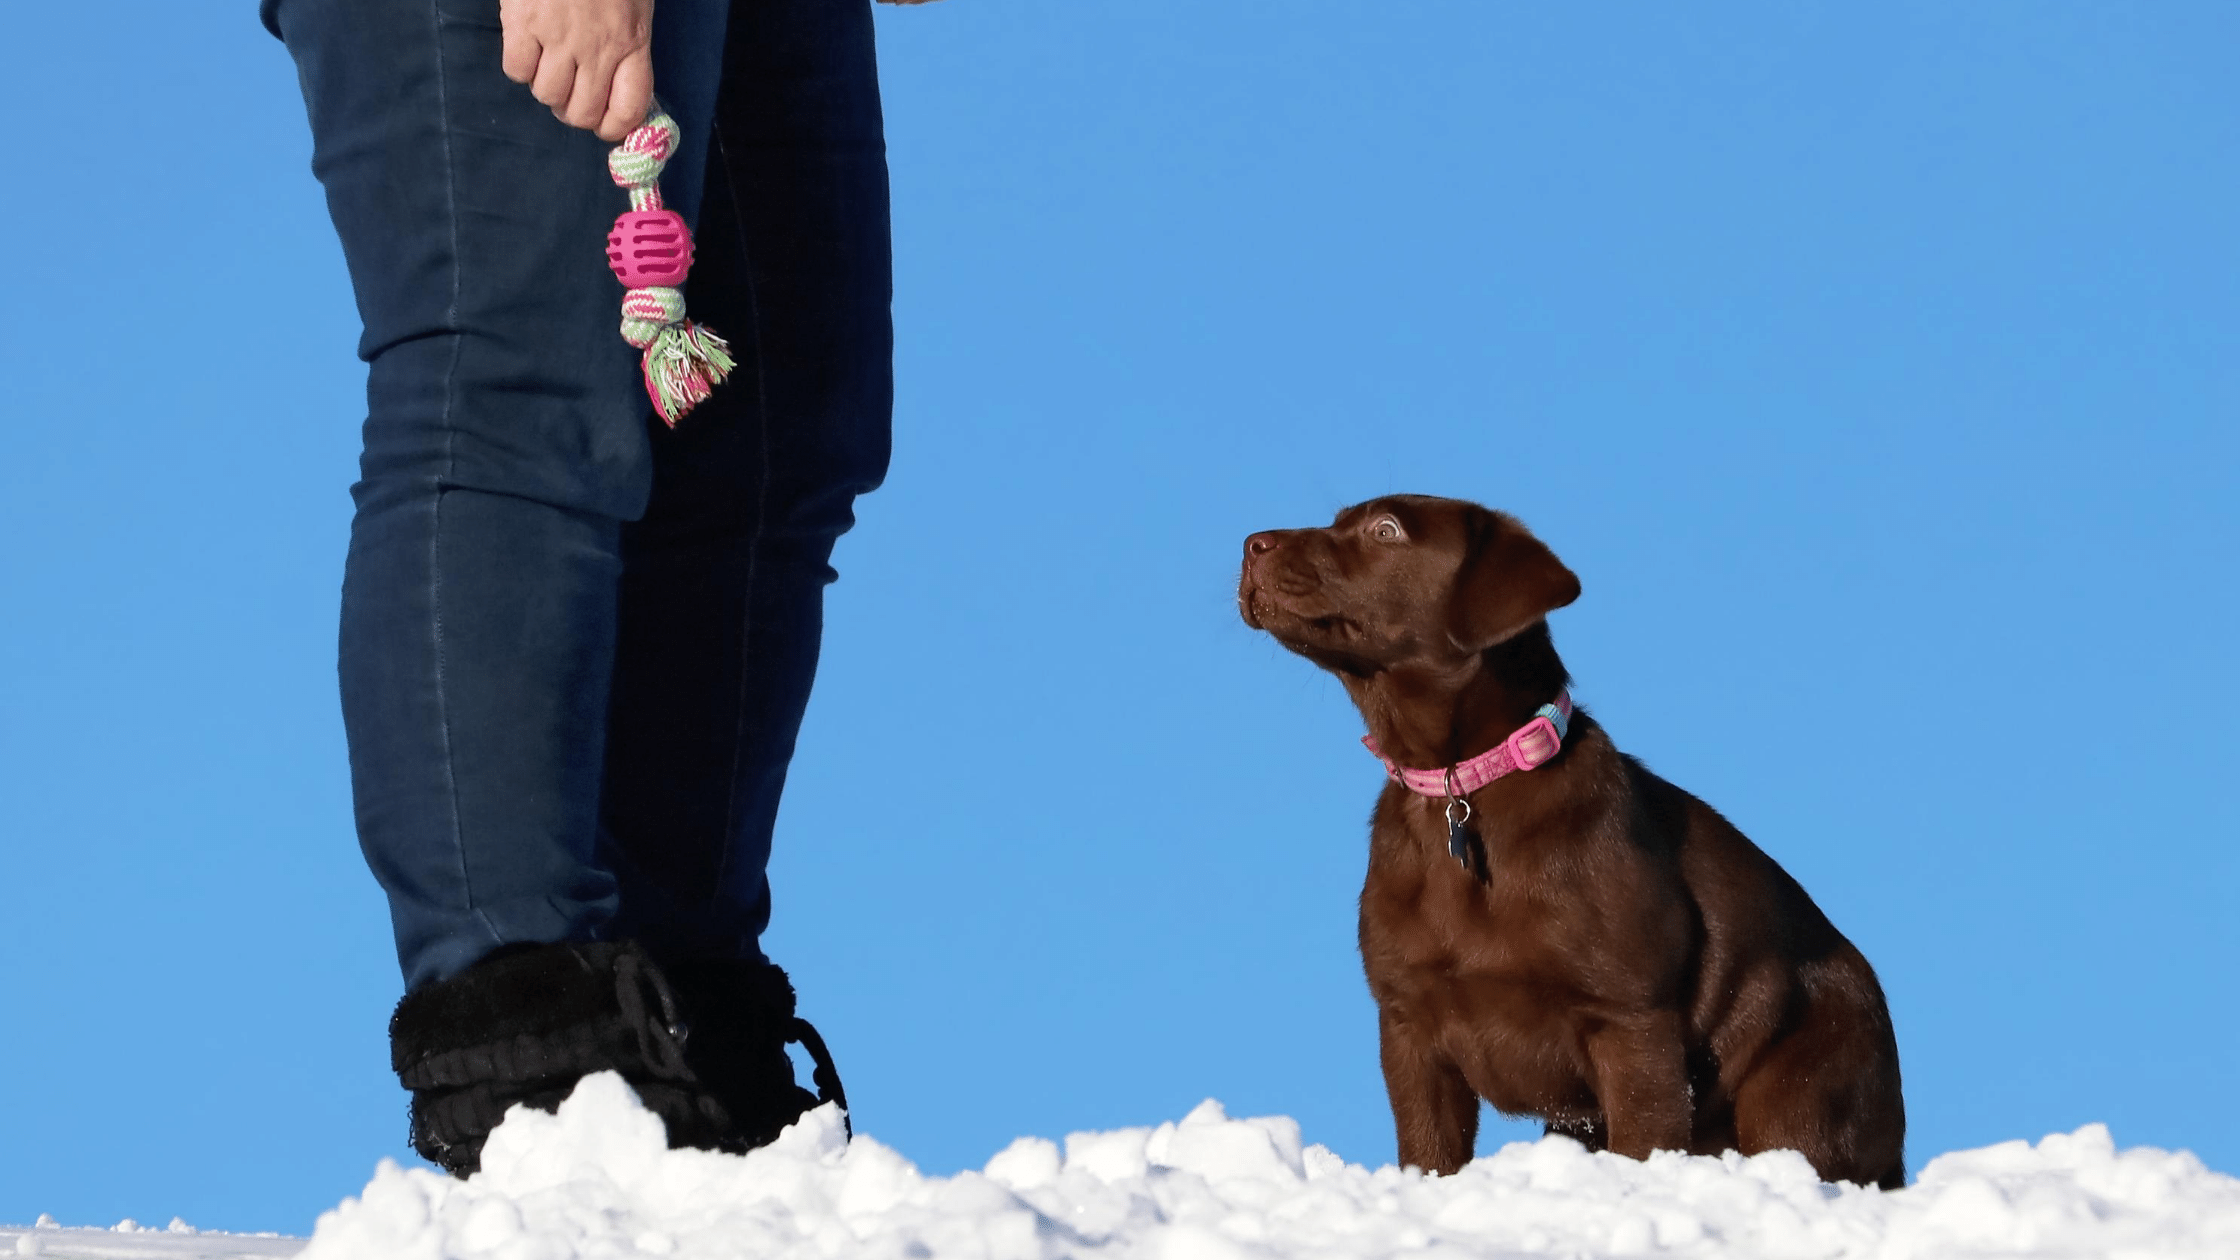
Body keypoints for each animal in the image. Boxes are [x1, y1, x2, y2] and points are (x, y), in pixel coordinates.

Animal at [1245, 495, 1908, 1183]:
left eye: (1386, 531)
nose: (1251, 544)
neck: (1462, 784)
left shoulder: (1632, 1024)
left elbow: (1643, 1140)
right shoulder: (1408, 1026)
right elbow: (1428, 1154)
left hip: (1801, 1089)